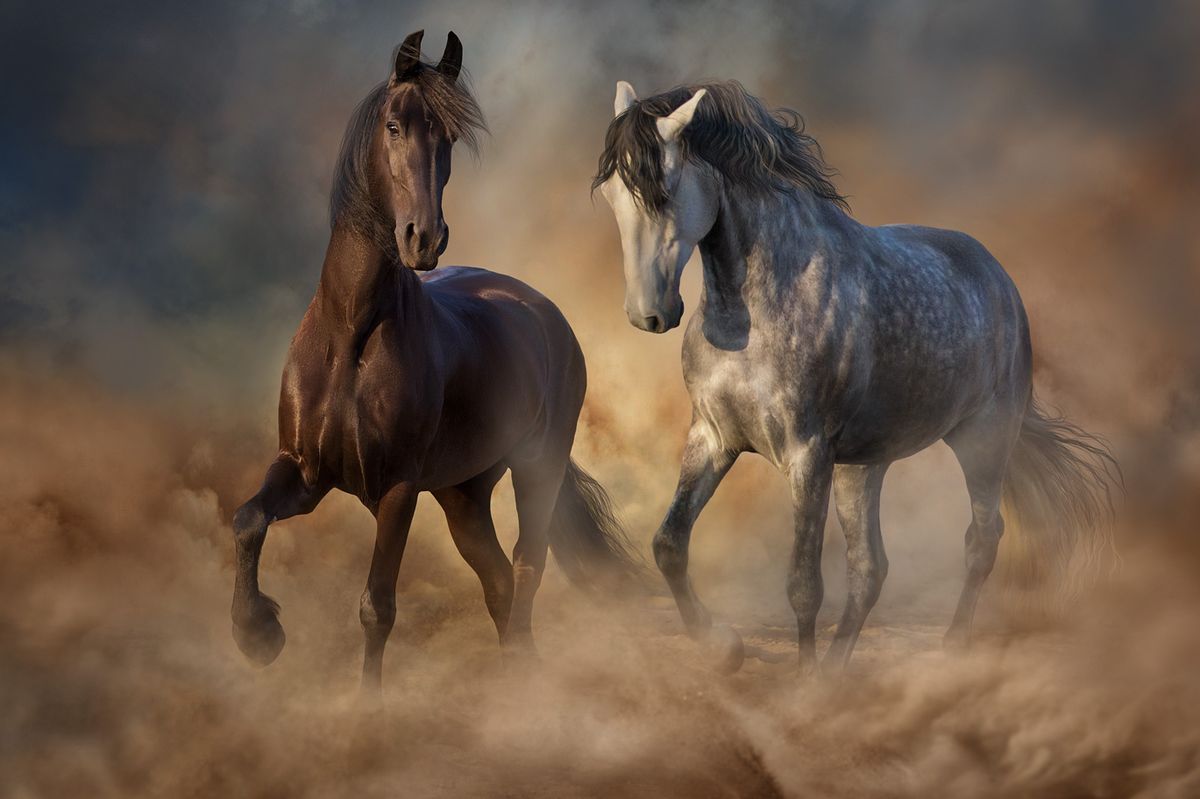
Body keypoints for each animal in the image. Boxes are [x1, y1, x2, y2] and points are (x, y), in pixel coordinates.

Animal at [229, 31, 640, 694]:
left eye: (448, 137)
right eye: (394, 126)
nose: (424, 239)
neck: (350, 334)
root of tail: (544, 311)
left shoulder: (398, 488)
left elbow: (377, 605)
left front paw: (367, 705)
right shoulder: (304, 471)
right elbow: (247, 520)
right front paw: (258, 635)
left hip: (537, 466)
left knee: (526, 565)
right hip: (463, 495)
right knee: (498, 579)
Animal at [593, 79, 1117, 672]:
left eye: (664, 190)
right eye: (612, 193)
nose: (648, 315)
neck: (754, 311)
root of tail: (998, 277)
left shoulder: (806, 455)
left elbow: (802, 584)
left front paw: (800, 680)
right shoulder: (713, 437)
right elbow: (670, 545)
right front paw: (724, 646)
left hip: (982, 442)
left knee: (981, 540)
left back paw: (952, 646)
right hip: (862, 469)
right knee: (872, 568)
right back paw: (838, 670)